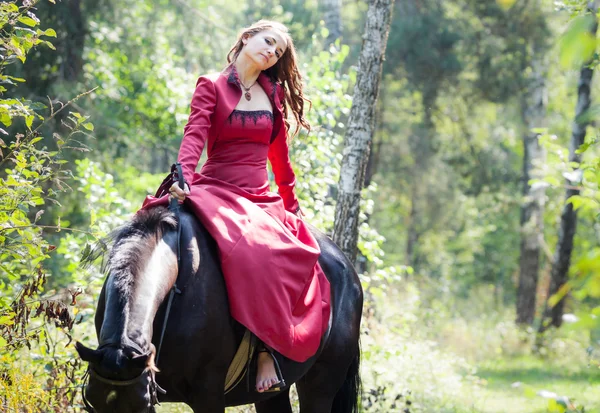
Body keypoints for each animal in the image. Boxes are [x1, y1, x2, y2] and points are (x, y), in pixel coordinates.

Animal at [75, 206, 364, 412]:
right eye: (92, 404)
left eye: (140, 406)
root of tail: (349, 270)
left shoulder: (208, 394)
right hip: (271, 394)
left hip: (321, 384)